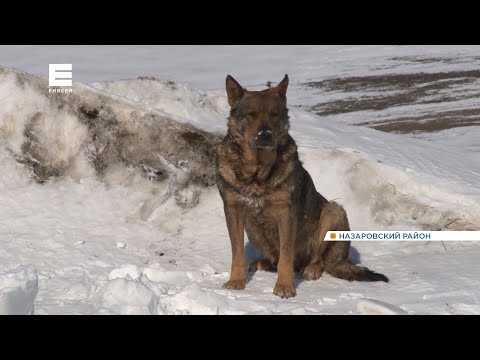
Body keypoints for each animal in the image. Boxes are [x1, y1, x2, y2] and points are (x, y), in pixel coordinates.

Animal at [216, 74, 388, 298]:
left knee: (321, 260)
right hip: (253, 230)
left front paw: (284, 287)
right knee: (276, 260)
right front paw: (236, 281)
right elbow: (237, 253)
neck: (257, 173)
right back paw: (263, 263)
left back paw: (311, 268)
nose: (265, 134)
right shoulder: (233, 209)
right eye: (251, 115)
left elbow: (286, 257)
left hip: (333, 211)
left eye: (274, 114)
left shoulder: (286, 212)